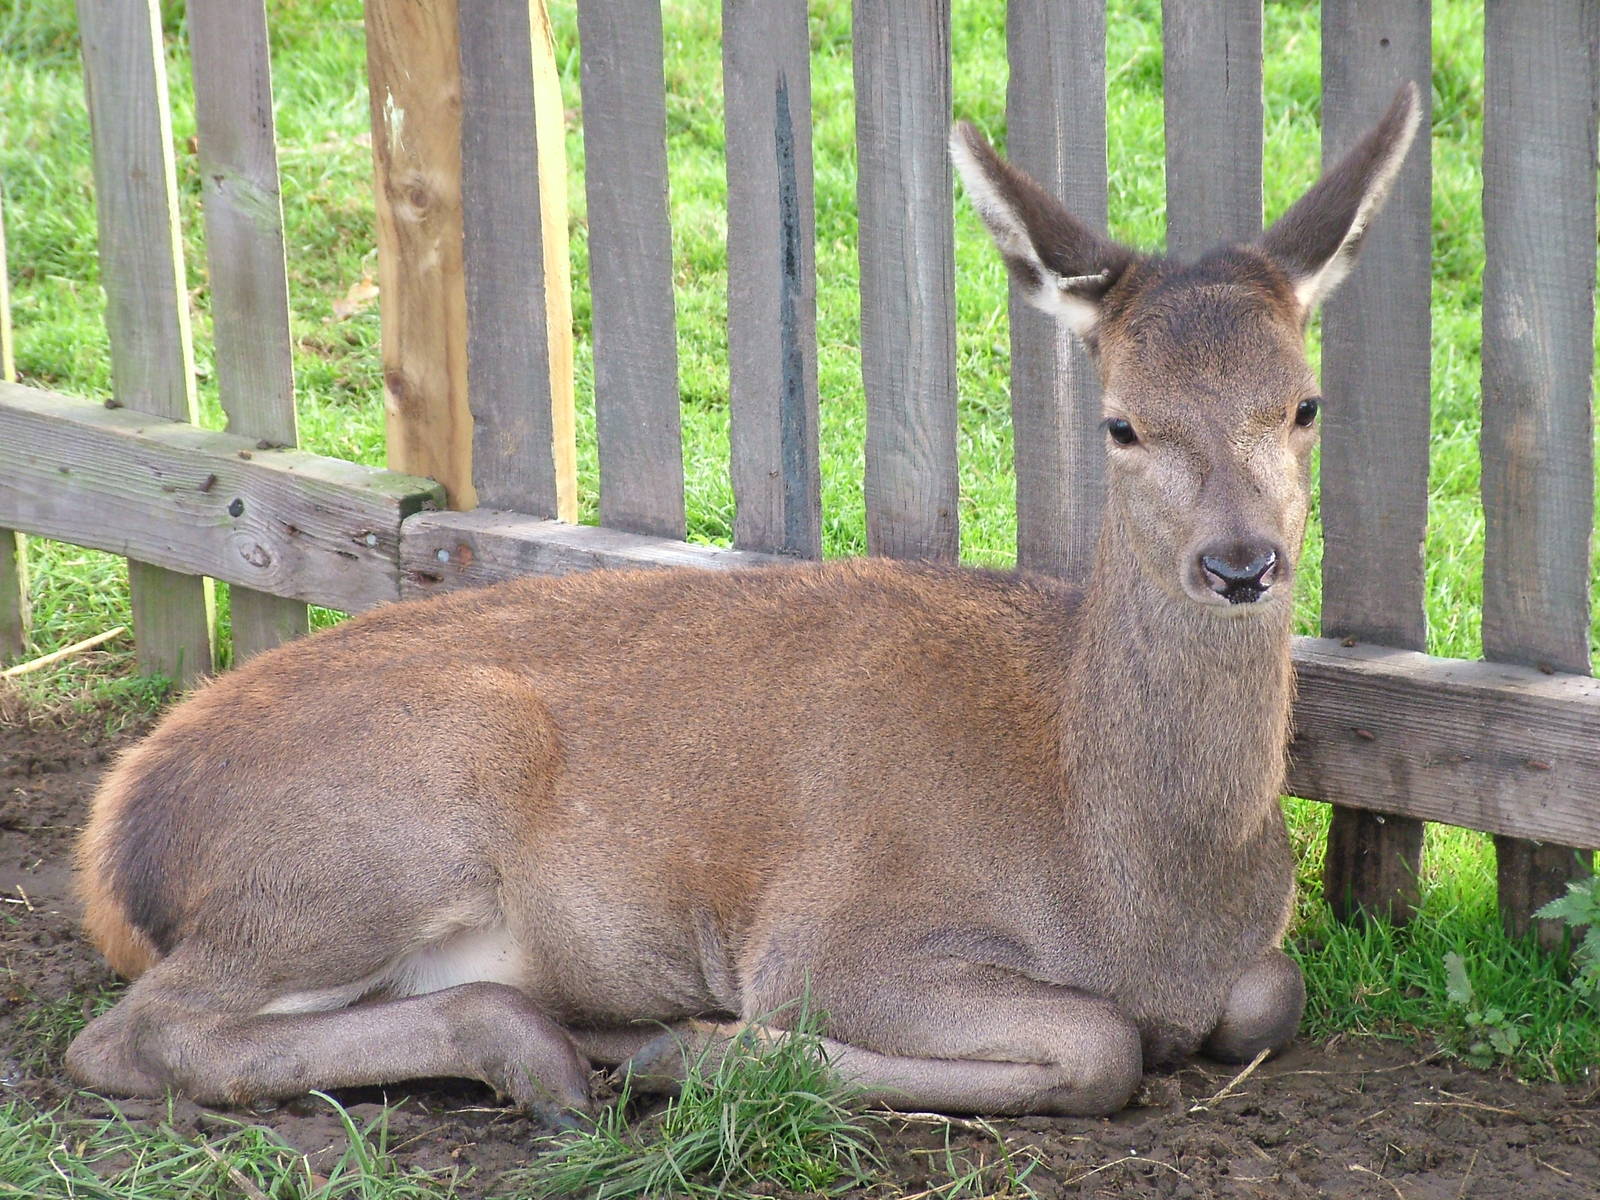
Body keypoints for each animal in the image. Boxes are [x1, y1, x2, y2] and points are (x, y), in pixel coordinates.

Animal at [64, 84, 1420, 1121]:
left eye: (1302, 402)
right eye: (1123, 422)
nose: (1240, 561)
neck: (1140, 889)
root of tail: (117, 841)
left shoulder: (1247, 960)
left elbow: (1270, 995)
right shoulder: (841, 934)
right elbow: (1099, 1044)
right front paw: (704, 1052)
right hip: (372, 828)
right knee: (129, 1034)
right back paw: (555, 1054)